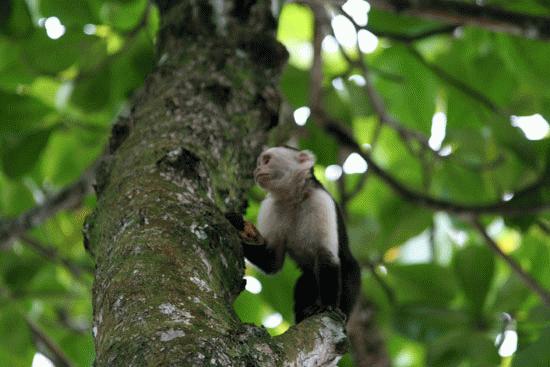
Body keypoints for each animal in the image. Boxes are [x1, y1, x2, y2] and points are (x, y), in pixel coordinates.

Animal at [235, 147, 360, 324]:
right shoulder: (270, 207)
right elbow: (272, 261)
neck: (292, 199)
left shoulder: (320, 201)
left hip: (351, 272)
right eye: (259, 163)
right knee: (304, 283)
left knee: (348, 276)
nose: (257, 170)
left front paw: (327, 306)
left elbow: (326, 256)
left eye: (266, 160)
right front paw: (234, 223)